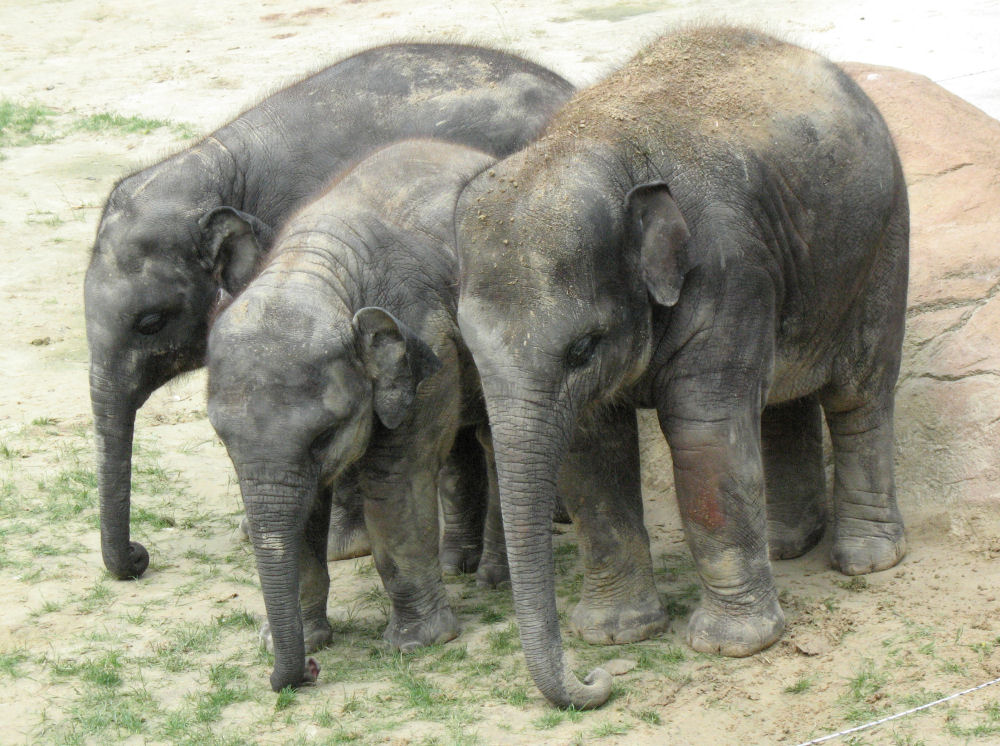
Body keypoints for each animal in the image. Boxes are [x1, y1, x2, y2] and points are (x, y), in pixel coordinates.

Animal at [207, 138, 668, 692]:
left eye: (324, 436)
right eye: (222, 440)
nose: (304, 675)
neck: (317, 264)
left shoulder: (425, 346)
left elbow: (395, 481)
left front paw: (417, 643)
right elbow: (307, 506)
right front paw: (302, 642)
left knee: (489, 447)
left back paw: (491, 579)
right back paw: (459, 567)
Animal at [458, 26, 912, 708]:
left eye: (583, 347)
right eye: (469, 346)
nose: (595, 682)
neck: (605, 147)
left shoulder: (727, 267)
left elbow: (706, 438)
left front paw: (733, 646)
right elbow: (591, 451)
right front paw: (617, 636)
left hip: (882, 244)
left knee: (860, 395)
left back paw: (866, 561)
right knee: (780, 401)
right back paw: (785, 546)